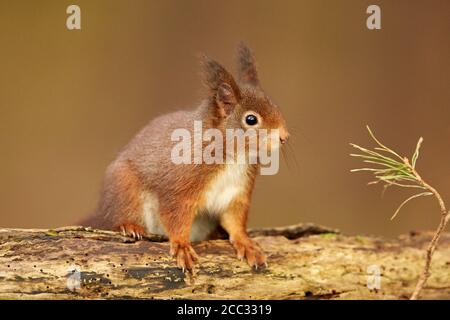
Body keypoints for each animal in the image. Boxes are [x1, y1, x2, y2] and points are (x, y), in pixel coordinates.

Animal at [79, 43, 290, 272]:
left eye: (275, 106)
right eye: (251, 119)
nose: (284, 137)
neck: (234, 157)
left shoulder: (237, 192)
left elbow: (235, 221)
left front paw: (246, 243)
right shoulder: (179, 187)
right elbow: (175, 216)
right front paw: (181, 246)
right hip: (125, 188)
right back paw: (129, 225)